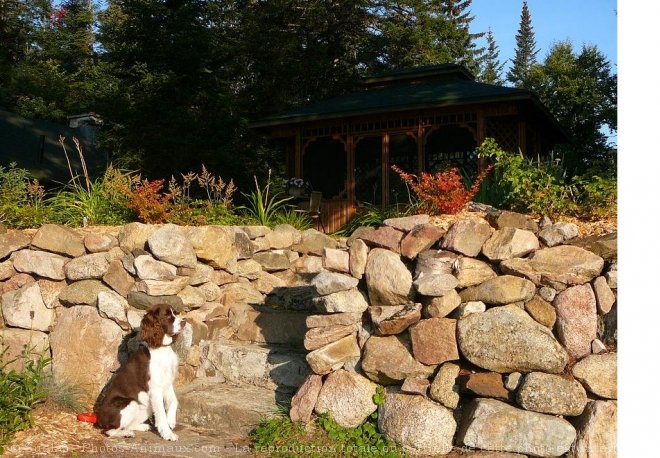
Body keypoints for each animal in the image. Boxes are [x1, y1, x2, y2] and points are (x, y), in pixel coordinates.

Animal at [94, 304, 186, 440]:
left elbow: (174, 400)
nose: (184, 322)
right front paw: (168, 434)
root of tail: (99, 418)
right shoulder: (155, 388)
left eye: (175, 313)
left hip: (145, 406)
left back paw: (142, 427)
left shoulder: (167, 382)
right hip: (130, 403)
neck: (161, 349)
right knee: (109, 431)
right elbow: (161, 414)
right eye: (167, 315)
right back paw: (127, 433)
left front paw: (171, 421)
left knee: (127, 425)